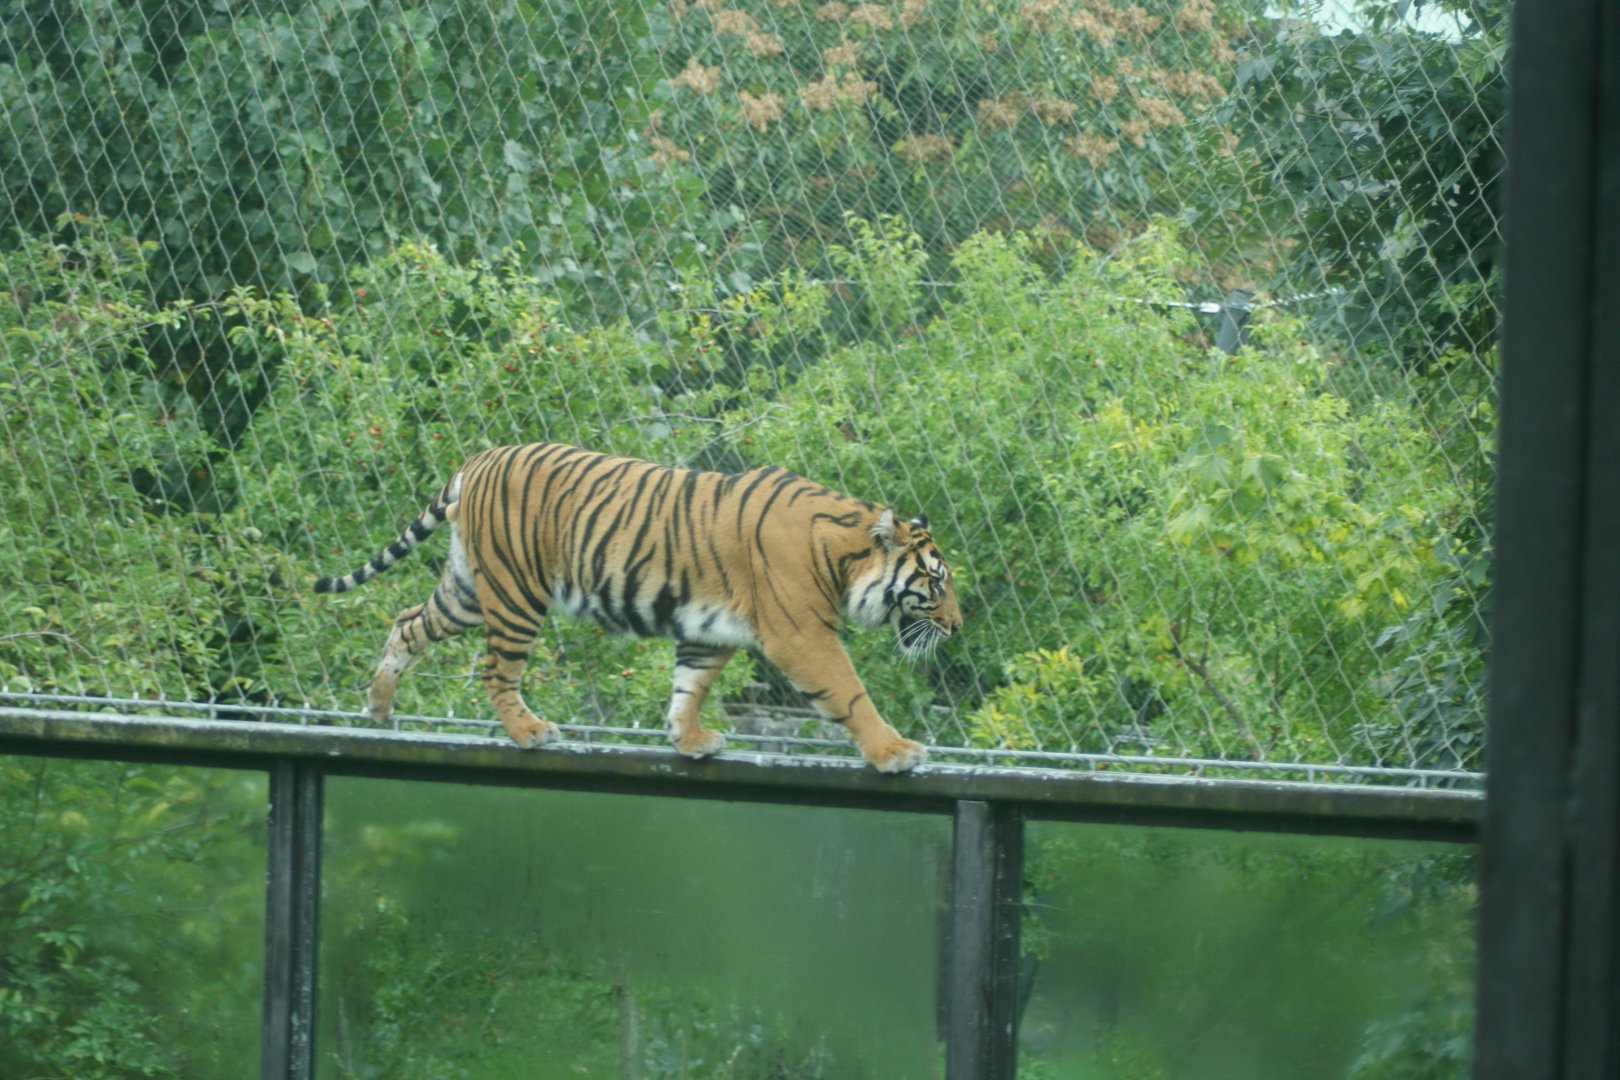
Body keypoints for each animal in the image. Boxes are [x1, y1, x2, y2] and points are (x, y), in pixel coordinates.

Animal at [314, 442, 962, 773]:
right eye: (935, 582)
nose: (957, 626)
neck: (842, 554)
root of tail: (478, 459)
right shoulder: (801, 634)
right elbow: (850, 694)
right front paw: (895, 752)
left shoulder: (709, 632)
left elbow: (688, 689)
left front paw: (688, 740)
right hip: (516, 593)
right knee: (497, 670)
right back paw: (529, 732)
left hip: (469, 590)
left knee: (407, 623)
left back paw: (378, 706)